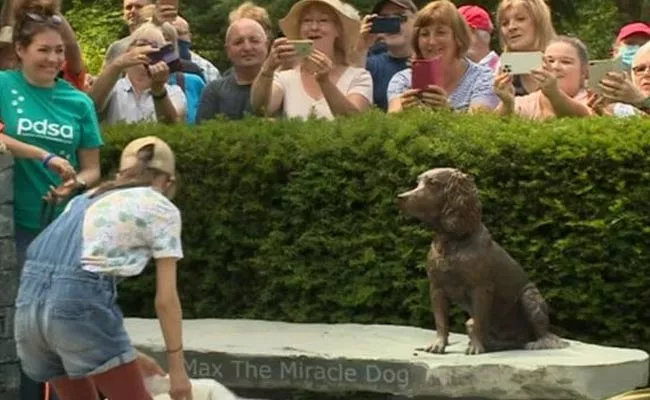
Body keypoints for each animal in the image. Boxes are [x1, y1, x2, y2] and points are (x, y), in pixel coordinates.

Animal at [392, 167, 564, 354]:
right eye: (418, 182)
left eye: (432, 183)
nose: (400, 197)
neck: (451, 242)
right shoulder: (436, 288)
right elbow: (441, 321)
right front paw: (438, 344)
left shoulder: (481, 288)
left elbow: (480, 320)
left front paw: (475, 348)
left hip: (530, 297)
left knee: (543, 333)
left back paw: (536, 343)